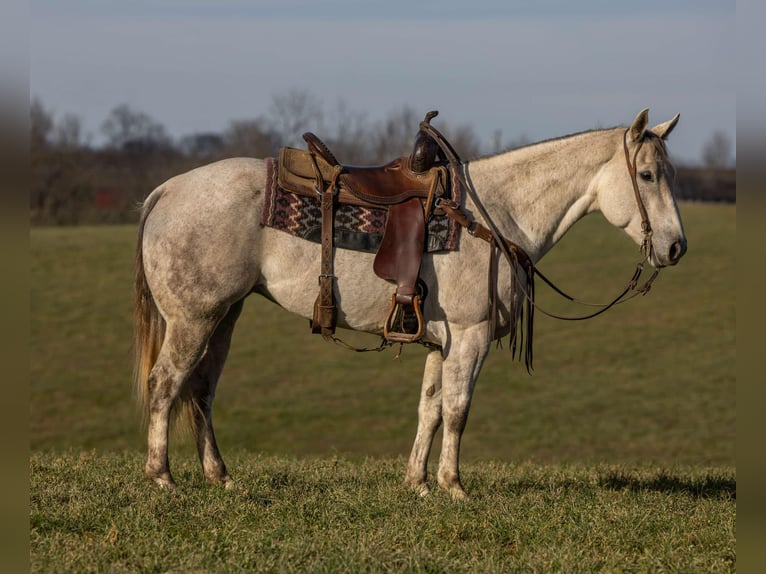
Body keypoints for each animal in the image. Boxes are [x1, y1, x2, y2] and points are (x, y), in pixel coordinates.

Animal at [134, 109, 688, 500]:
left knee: (201, 391)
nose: (676, 247)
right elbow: (458, 410)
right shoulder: (470, 336)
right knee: (166, 384)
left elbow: (431, 409)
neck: (497, 213)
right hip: (193, 320)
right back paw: (162, 476)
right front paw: (454, 486)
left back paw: (219, 476)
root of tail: (167, 190)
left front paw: (417, 482)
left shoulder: (441, 343)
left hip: (223, 317)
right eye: (646, 175)